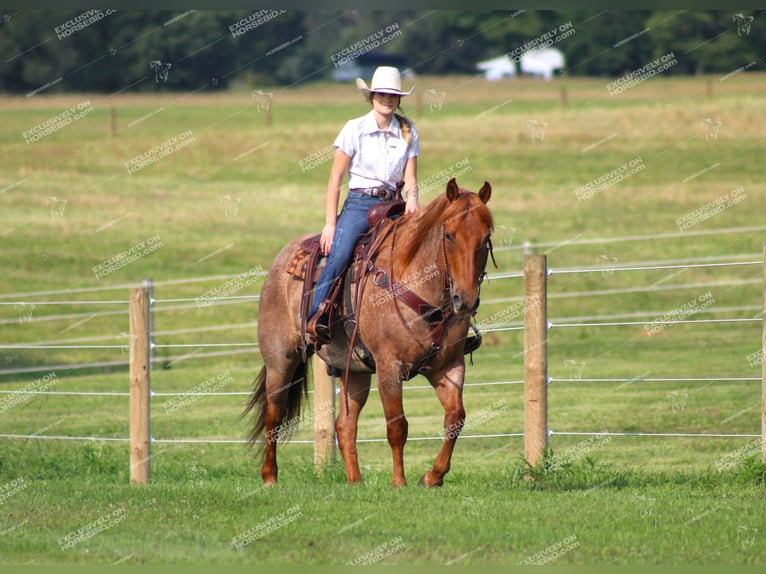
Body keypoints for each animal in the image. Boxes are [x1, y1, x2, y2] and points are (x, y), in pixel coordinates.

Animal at [248, 178, 498, 488]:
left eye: (485, 238)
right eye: (449, 236)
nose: (466, 301)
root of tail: (281, 261)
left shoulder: (449, 365)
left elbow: (455, 418)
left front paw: (432, 476)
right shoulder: (389, 366)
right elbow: (397, 425)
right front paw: (399, 482)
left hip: (353, 371)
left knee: (344, 425)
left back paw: (355, 481)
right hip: (280, 360)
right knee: (274, 414)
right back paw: (269, 476)